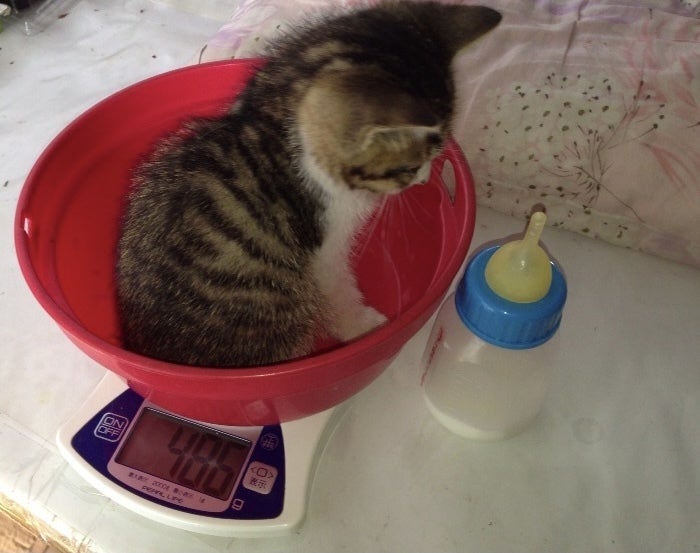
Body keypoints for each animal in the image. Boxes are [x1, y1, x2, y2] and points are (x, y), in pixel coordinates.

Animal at [116, 1, 501, 367]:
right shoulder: (324, 249)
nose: (423, 180)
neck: (271, 125)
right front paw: (362, 326)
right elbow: (338, 290)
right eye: (410, 165)